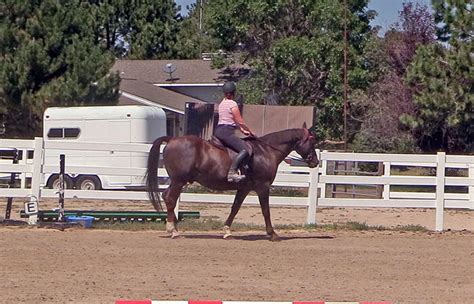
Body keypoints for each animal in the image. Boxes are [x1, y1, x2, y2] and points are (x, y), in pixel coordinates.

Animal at [146, 127, 320, 241]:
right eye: (312, 141)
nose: (315, 162)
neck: (266, 151)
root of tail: (172, 139)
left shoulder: (244, 188)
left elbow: (235, 208)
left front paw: (227, 231)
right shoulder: (263, 187)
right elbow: (266, 211)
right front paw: (272, 234)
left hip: (176, 181)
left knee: (166, 196)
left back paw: (174, 227)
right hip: (178, 181)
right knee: (170, 199)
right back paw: (173, 230)